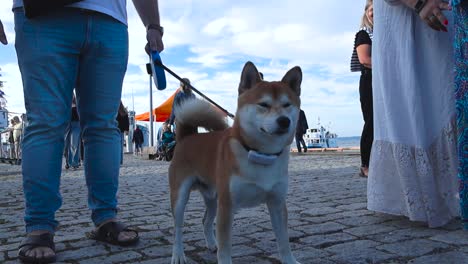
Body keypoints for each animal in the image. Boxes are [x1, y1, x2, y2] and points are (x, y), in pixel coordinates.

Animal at [170, 60, 302, 262]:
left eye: (287, 104)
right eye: (263, 104)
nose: (284, 121)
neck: (260, 154)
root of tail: (187, 137)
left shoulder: (277, 202)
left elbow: (284, 241)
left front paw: (289, 260)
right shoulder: (227, 205)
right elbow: (225, 248)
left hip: (213, 196)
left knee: (205, 220)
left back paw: (211, 244)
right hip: (181, 196)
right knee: (178, 228)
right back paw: (178, 254)